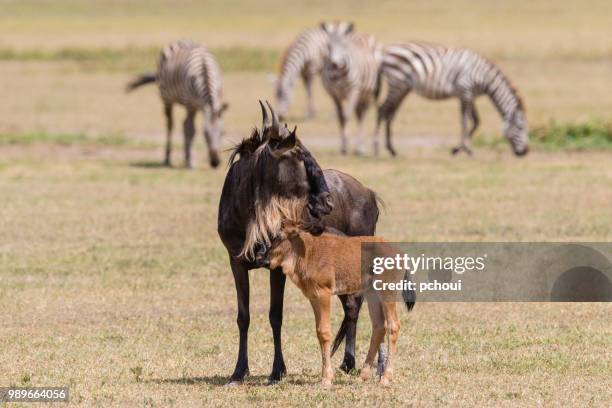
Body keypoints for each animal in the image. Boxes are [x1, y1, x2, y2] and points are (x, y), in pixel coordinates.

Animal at [125, 40, 228, 168]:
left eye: (223, 133)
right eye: (205, 134)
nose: (215, 162)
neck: (205, 71)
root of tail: (182, 40)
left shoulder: (216, 97)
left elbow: (189, 128)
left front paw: (188, 159)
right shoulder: (190, 104)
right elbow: (191, 130)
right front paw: (190, 162)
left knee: (183, 124)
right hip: (167, 98)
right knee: (170, 124)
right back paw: (167, 158)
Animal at [268, 222, 416, 388]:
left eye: (281, 237)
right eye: (272, 236)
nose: (266, 260)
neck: (307, 251)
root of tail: (400, 254)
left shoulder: (324, 294)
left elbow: (325, 332)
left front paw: (326, 379)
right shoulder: (313, 298)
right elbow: (319, 332)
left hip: (386, 292)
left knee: (393, 326)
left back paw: (385, 378)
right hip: (372, 295)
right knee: (379, 327)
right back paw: (363, 376)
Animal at [320, 22, 382, 156]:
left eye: (344, 46)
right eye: (328, 46)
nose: (334, 64)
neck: (338, 75)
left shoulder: (353, 91)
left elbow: (347, 115)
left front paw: (349, 146)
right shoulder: (334, 95)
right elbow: (340, 117)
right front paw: (344, 147)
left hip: (369, 92)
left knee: (364, 115)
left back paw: (361, 147)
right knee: (359, 114)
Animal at [376, 41, 528, 156]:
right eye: (520, 128)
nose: (525, 151)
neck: (485, 78)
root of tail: (386, 51)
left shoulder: (471, 96)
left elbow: (476, 122)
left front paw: (458, 149)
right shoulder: (464, 92)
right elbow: (465, 122)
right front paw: (464, 149)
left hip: (403, 88)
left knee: (390, 114)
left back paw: (391, 149)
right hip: (397, 84)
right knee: (382, 110)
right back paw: (375, 149)